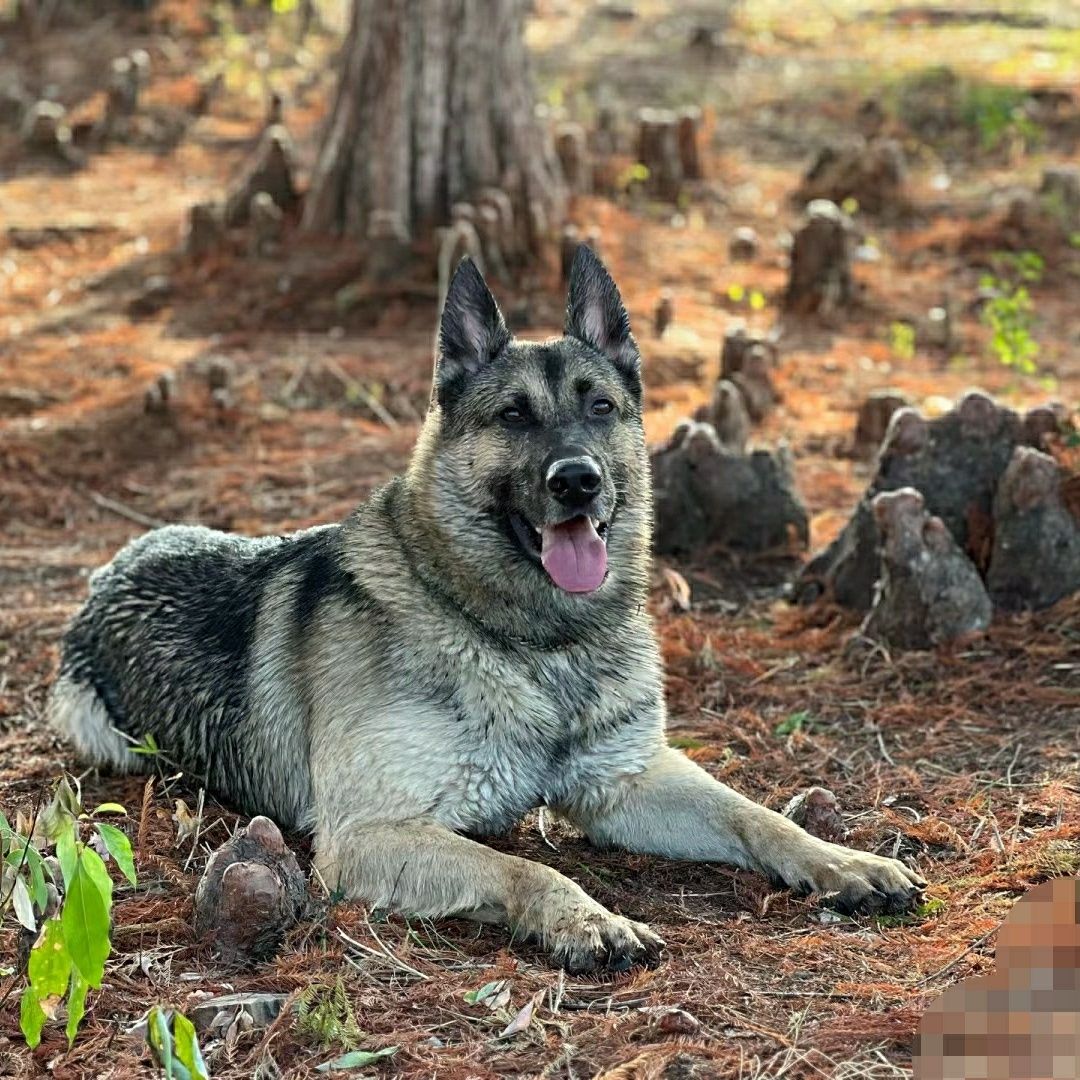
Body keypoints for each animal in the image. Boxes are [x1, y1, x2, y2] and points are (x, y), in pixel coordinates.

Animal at [50, 248, 924, 976]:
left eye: (600, 408)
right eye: (513, 416)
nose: (578, 482)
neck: (535, 642)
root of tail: (113, 564)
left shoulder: (627, 783)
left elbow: (757, 817)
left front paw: (844, 862)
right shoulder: (370, 835)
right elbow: (526, 864)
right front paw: (587, 920)